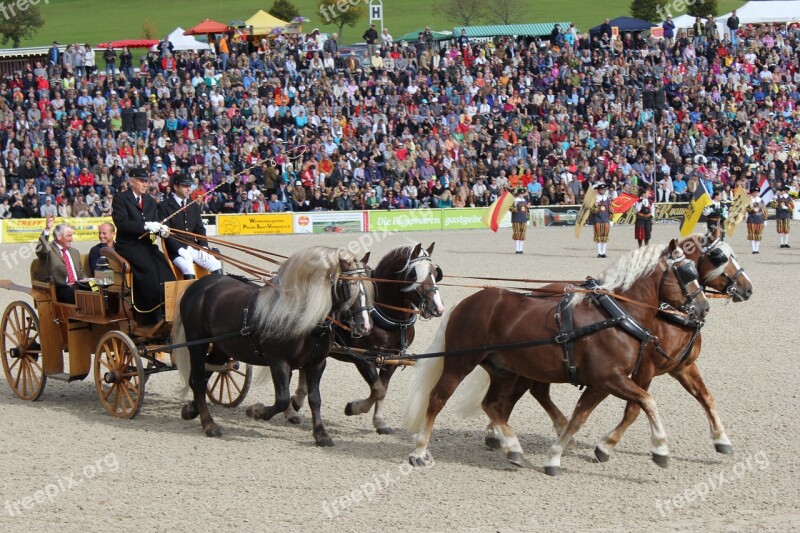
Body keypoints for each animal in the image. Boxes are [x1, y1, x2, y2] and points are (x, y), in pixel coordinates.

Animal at [173, 246, 374, 444]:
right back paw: (209, 424)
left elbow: (315, 398)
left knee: (206, 374)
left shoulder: (317, 363)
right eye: (348, 286)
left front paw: (321, 434)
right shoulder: (278, 362)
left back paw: (192, 409)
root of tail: (199, 285)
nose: (365, 326)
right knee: (198, 379)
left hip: (222, 347)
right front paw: (255, 412)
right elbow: (282, 400)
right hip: (197, 343)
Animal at [280, 243, 444, 434]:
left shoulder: (393, 358)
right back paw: (290, 410)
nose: (438, 308)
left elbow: (383, 389)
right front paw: (353, 408)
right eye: (414, 274)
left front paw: (379, 421)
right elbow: (377, 389)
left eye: (435, 272)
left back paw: (297, 399)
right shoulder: (362, 357)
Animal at [406, 237, 712, 474]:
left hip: (503, 370)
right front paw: (660, 449)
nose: (704, 306)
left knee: (493, 404)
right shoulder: (610, 378)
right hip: (459, 363)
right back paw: (420, 451)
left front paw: (555, 456)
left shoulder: (602, 382)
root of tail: (466, 302)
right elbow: (648, 402)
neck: (616, 315)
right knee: (438, 399)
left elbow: (579, 417)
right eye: (686, 273)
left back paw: (512, 447)